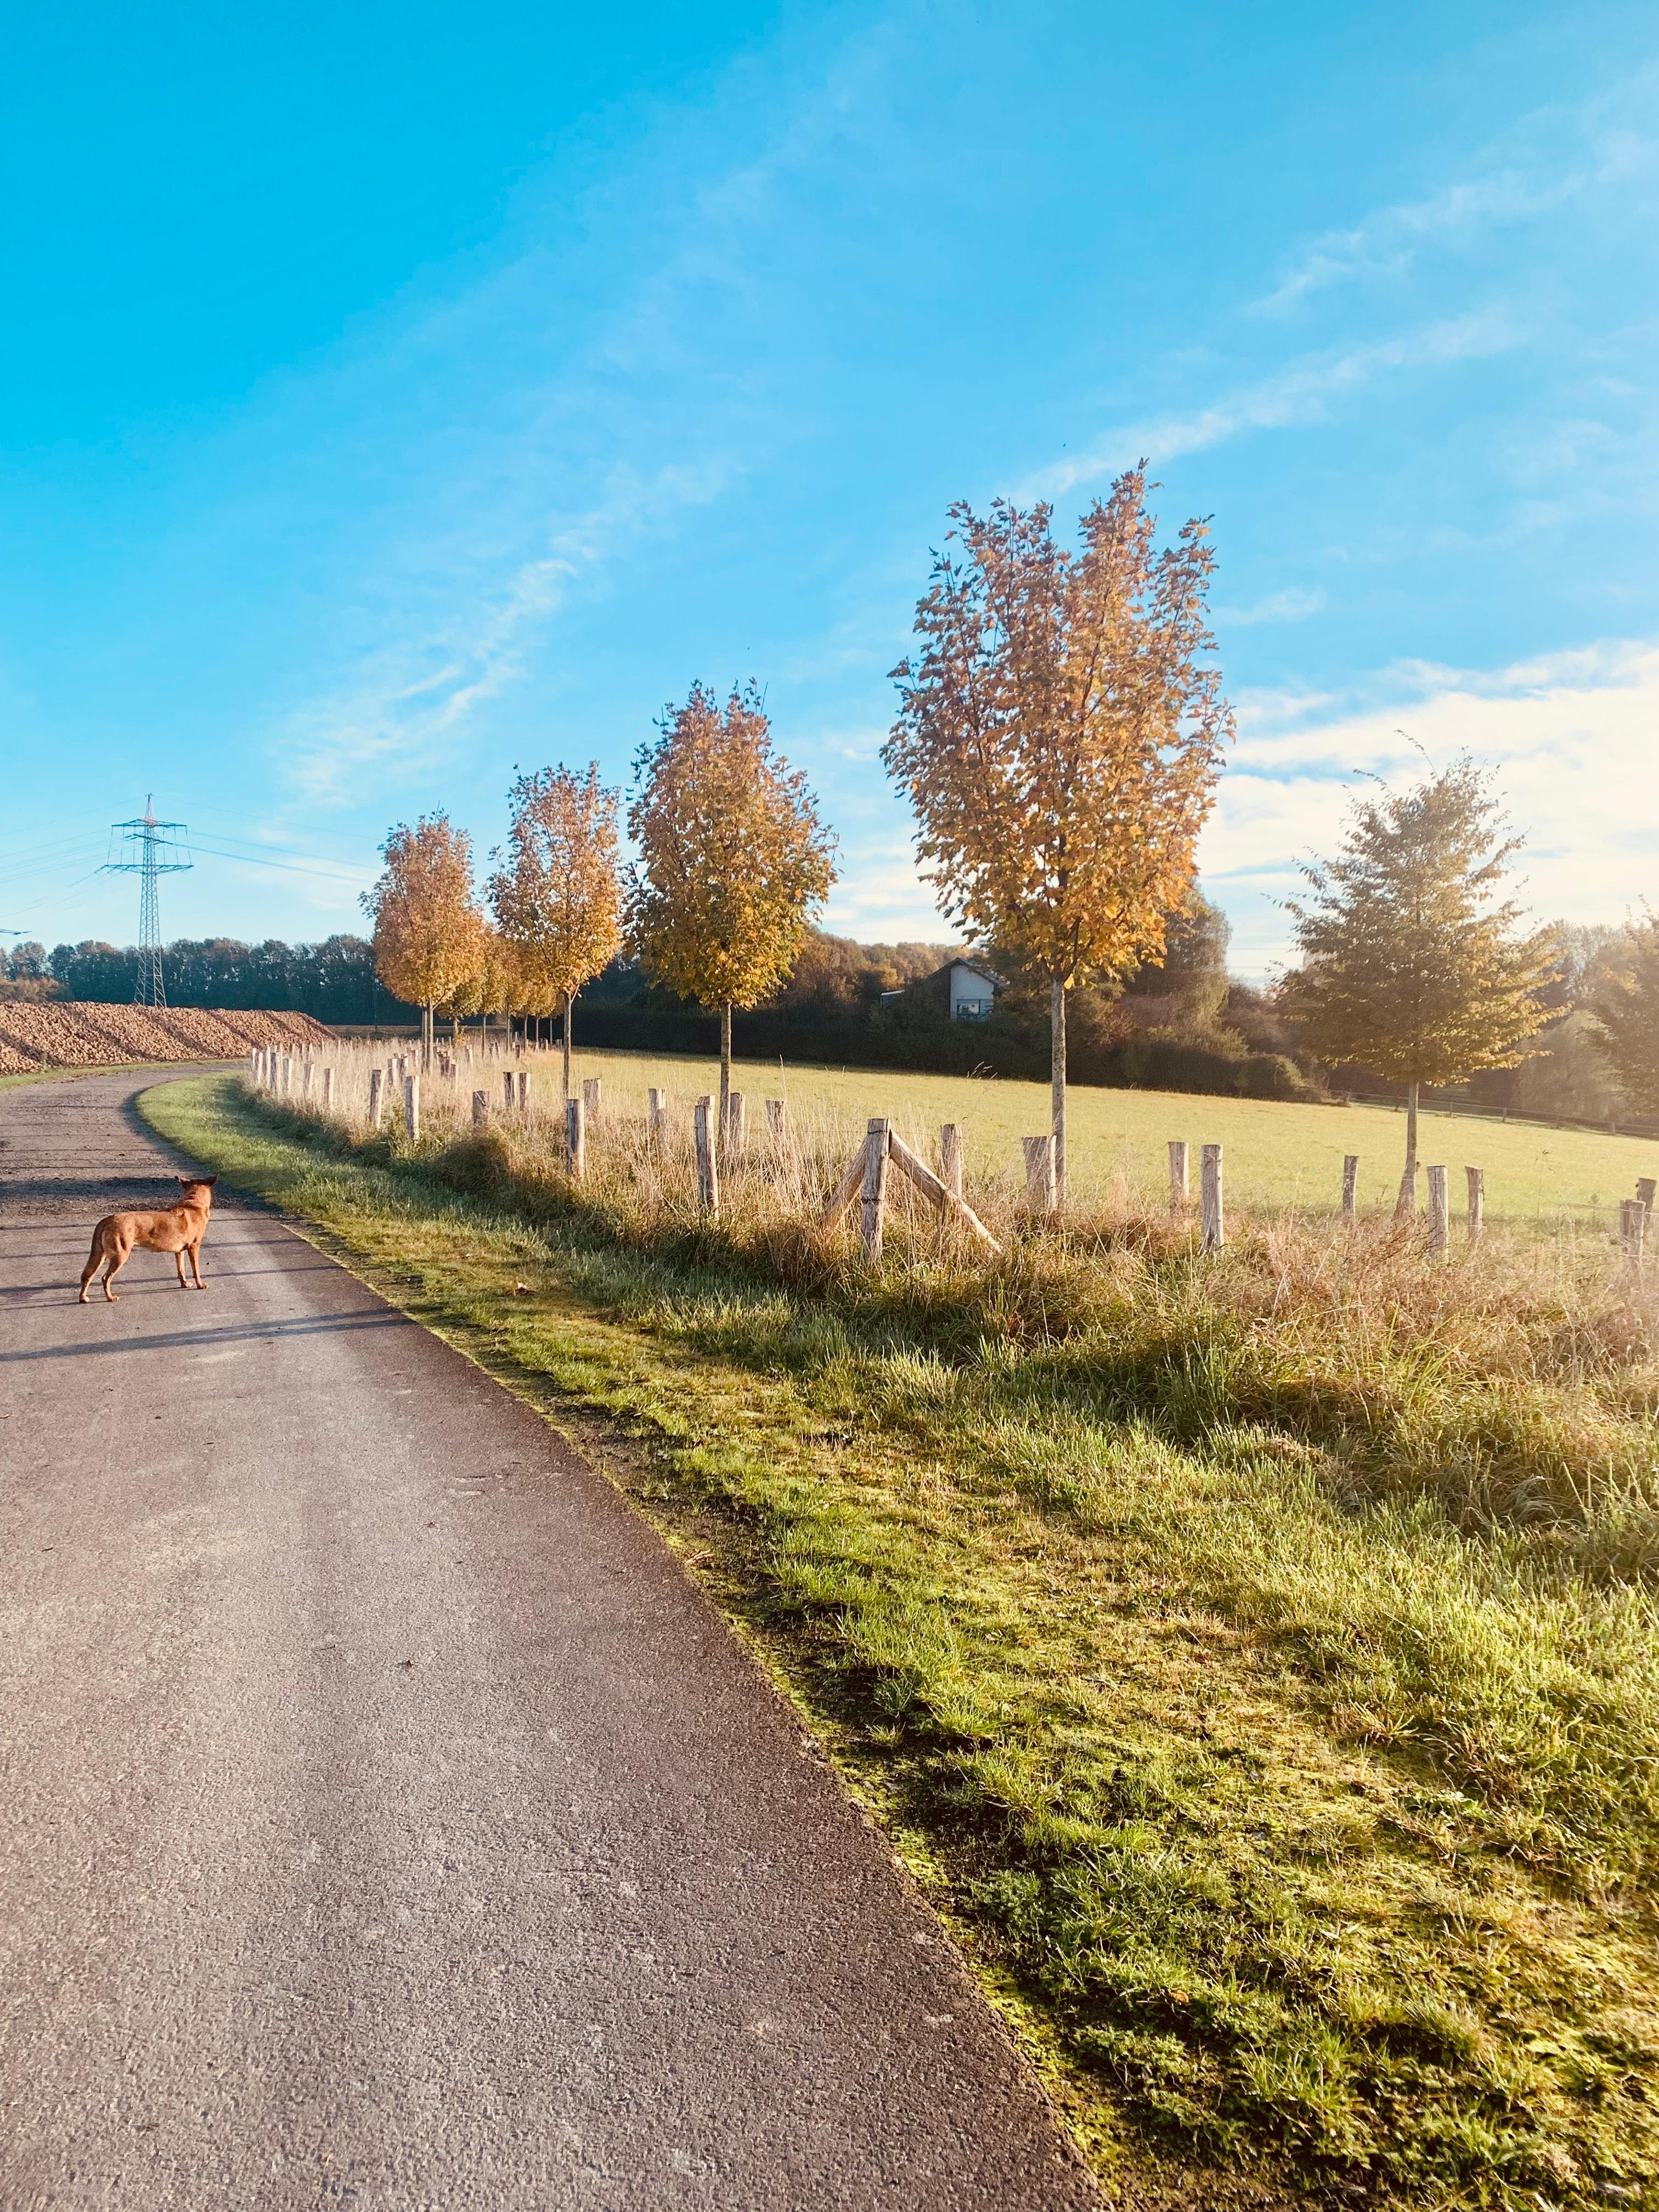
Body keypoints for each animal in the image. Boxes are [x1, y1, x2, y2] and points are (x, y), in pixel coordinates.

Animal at [78, 1186, 218, 1300]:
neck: (194, 1203)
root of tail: (108, 1220)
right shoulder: (194, 1247)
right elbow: (196, 1270)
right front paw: (200, 1285)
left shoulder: (179, 1251)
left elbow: (181, 1270)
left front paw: (184, 1284)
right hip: (120, 1256)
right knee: (105, 1278)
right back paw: (110, 1298)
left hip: (100, 1256)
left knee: (88, 1276)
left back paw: (83, 1298)